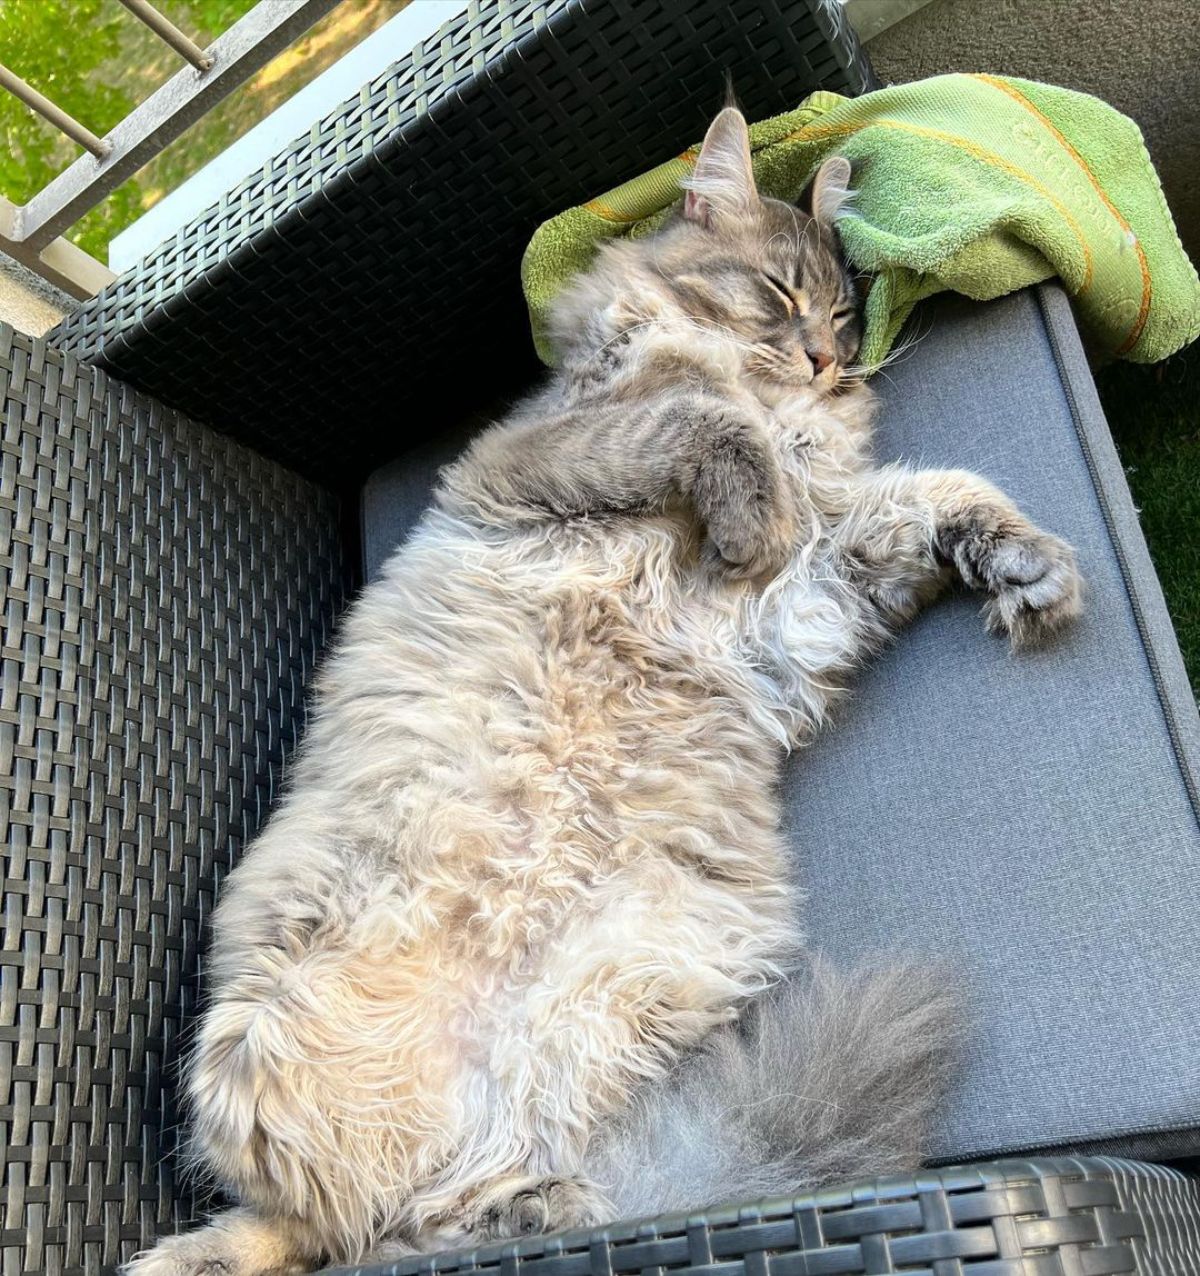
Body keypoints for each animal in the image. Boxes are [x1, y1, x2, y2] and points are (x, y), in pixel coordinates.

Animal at [126, 107, 1082, 1276]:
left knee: (427, 1212)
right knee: (312, 1227)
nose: (824, 361)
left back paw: (522, 1212)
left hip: (602, 1015)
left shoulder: (802, 599)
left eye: (846, 319)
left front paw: (1026, 569)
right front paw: (753, 506)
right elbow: (707, 429)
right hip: (262, 1048)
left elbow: (934, 498)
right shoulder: (554, 455)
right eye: (779, 295)